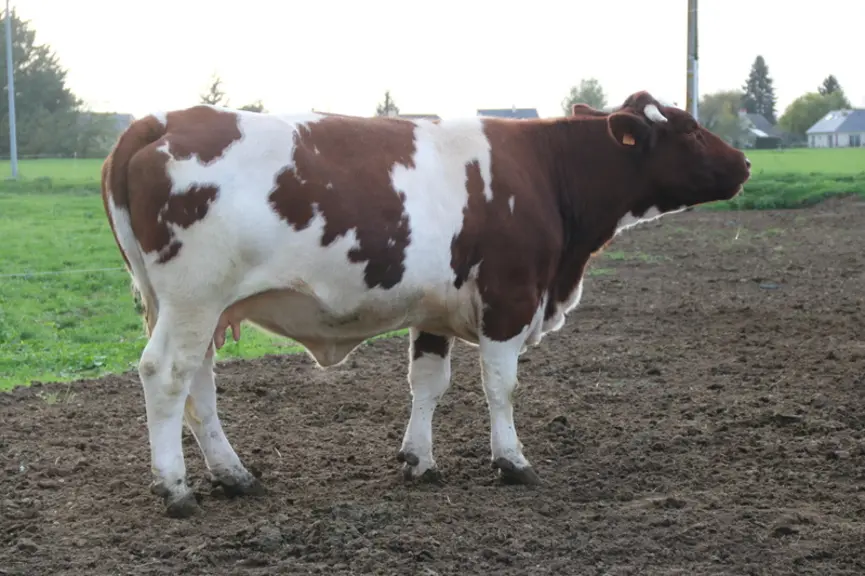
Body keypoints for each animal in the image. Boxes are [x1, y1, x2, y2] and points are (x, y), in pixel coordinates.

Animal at [100, 90, 751, 518]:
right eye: (689, 128)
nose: (744, 162)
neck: (545, 171)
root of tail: (160, 118)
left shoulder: (435, 311)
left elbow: (428, 385)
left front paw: (419, 460)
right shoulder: (510, 299)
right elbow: (501, 387)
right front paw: (512, 461)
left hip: (198, 308)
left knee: (199, 385)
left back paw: (234, 476)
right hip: (194, 297)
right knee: (166, 375)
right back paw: (175, 489)